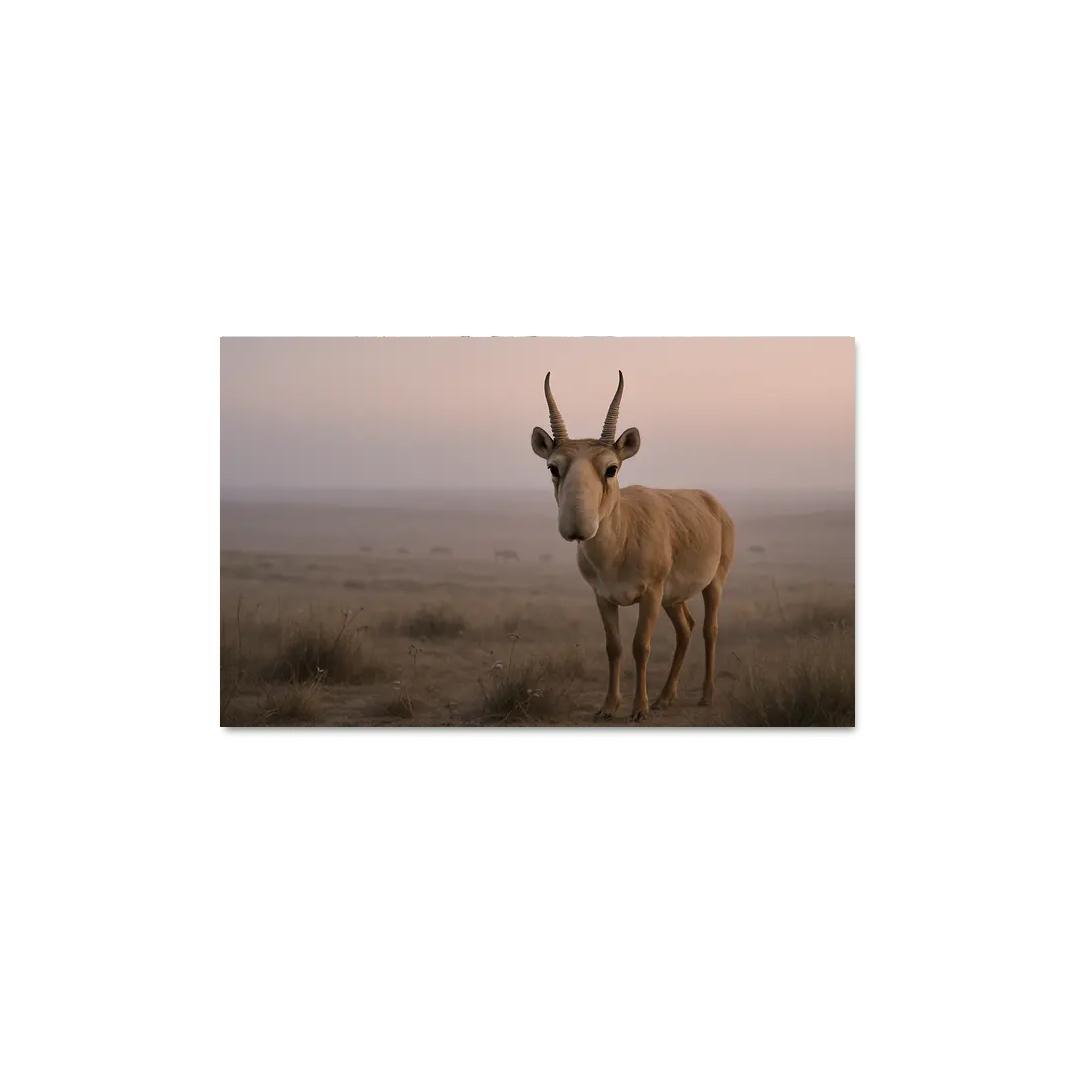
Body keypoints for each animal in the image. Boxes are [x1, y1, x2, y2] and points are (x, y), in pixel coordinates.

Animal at [531, 372, 735, 720]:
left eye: (611, 468)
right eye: (553, 467)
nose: (577, 526)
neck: (618, 549)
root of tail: (711, 503)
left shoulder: (650, 594)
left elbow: (641, 645)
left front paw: (639, 709)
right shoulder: (603, 597)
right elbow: (614, 647)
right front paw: (608, 706)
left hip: (713, 584)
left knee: (710, 629)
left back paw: (705, 696)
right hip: (673, 598)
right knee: (686, 628)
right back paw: (665, 698)